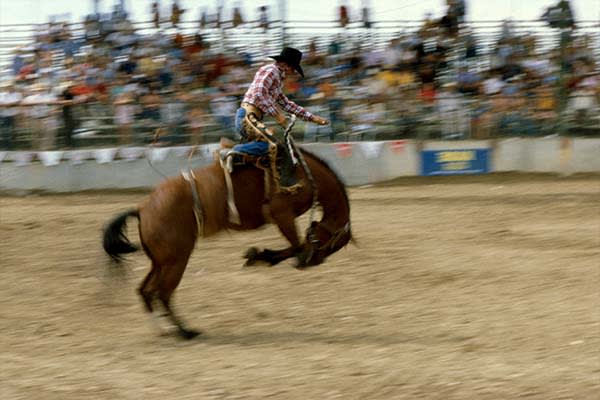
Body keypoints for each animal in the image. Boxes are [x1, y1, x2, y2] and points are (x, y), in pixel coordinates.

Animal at [102, 148, 352, 340]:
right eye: (332, 243)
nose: (311, 262)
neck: (306, 174)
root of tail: (142, 208)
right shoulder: (281, 213)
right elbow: (296, 245)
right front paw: (258, 256)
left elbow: (294, 245)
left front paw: (259, 256)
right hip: (176, 260)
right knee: (162, 293)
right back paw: (185, 332)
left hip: (160, 261)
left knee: (145, 290)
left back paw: (162, 329)